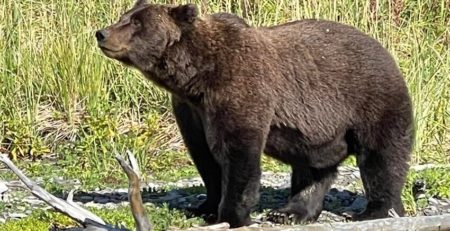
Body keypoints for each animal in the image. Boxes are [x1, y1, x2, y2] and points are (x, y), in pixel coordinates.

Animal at [96, 0, 414, 227]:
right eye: (125, 15)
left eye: (136, 22)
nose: (102, 33)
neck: (197, 75)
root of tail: (385, 50)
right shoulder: (191, 109)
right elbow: (204, 156)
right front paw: (204, 206)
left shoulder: (239, 87)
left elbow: (238, 150)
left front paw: (231, 214)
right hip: (318, 132)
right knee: (313, 169)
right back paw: (290, 212)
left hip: (370, 98)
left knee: (382, 155)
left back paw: (377, 210)